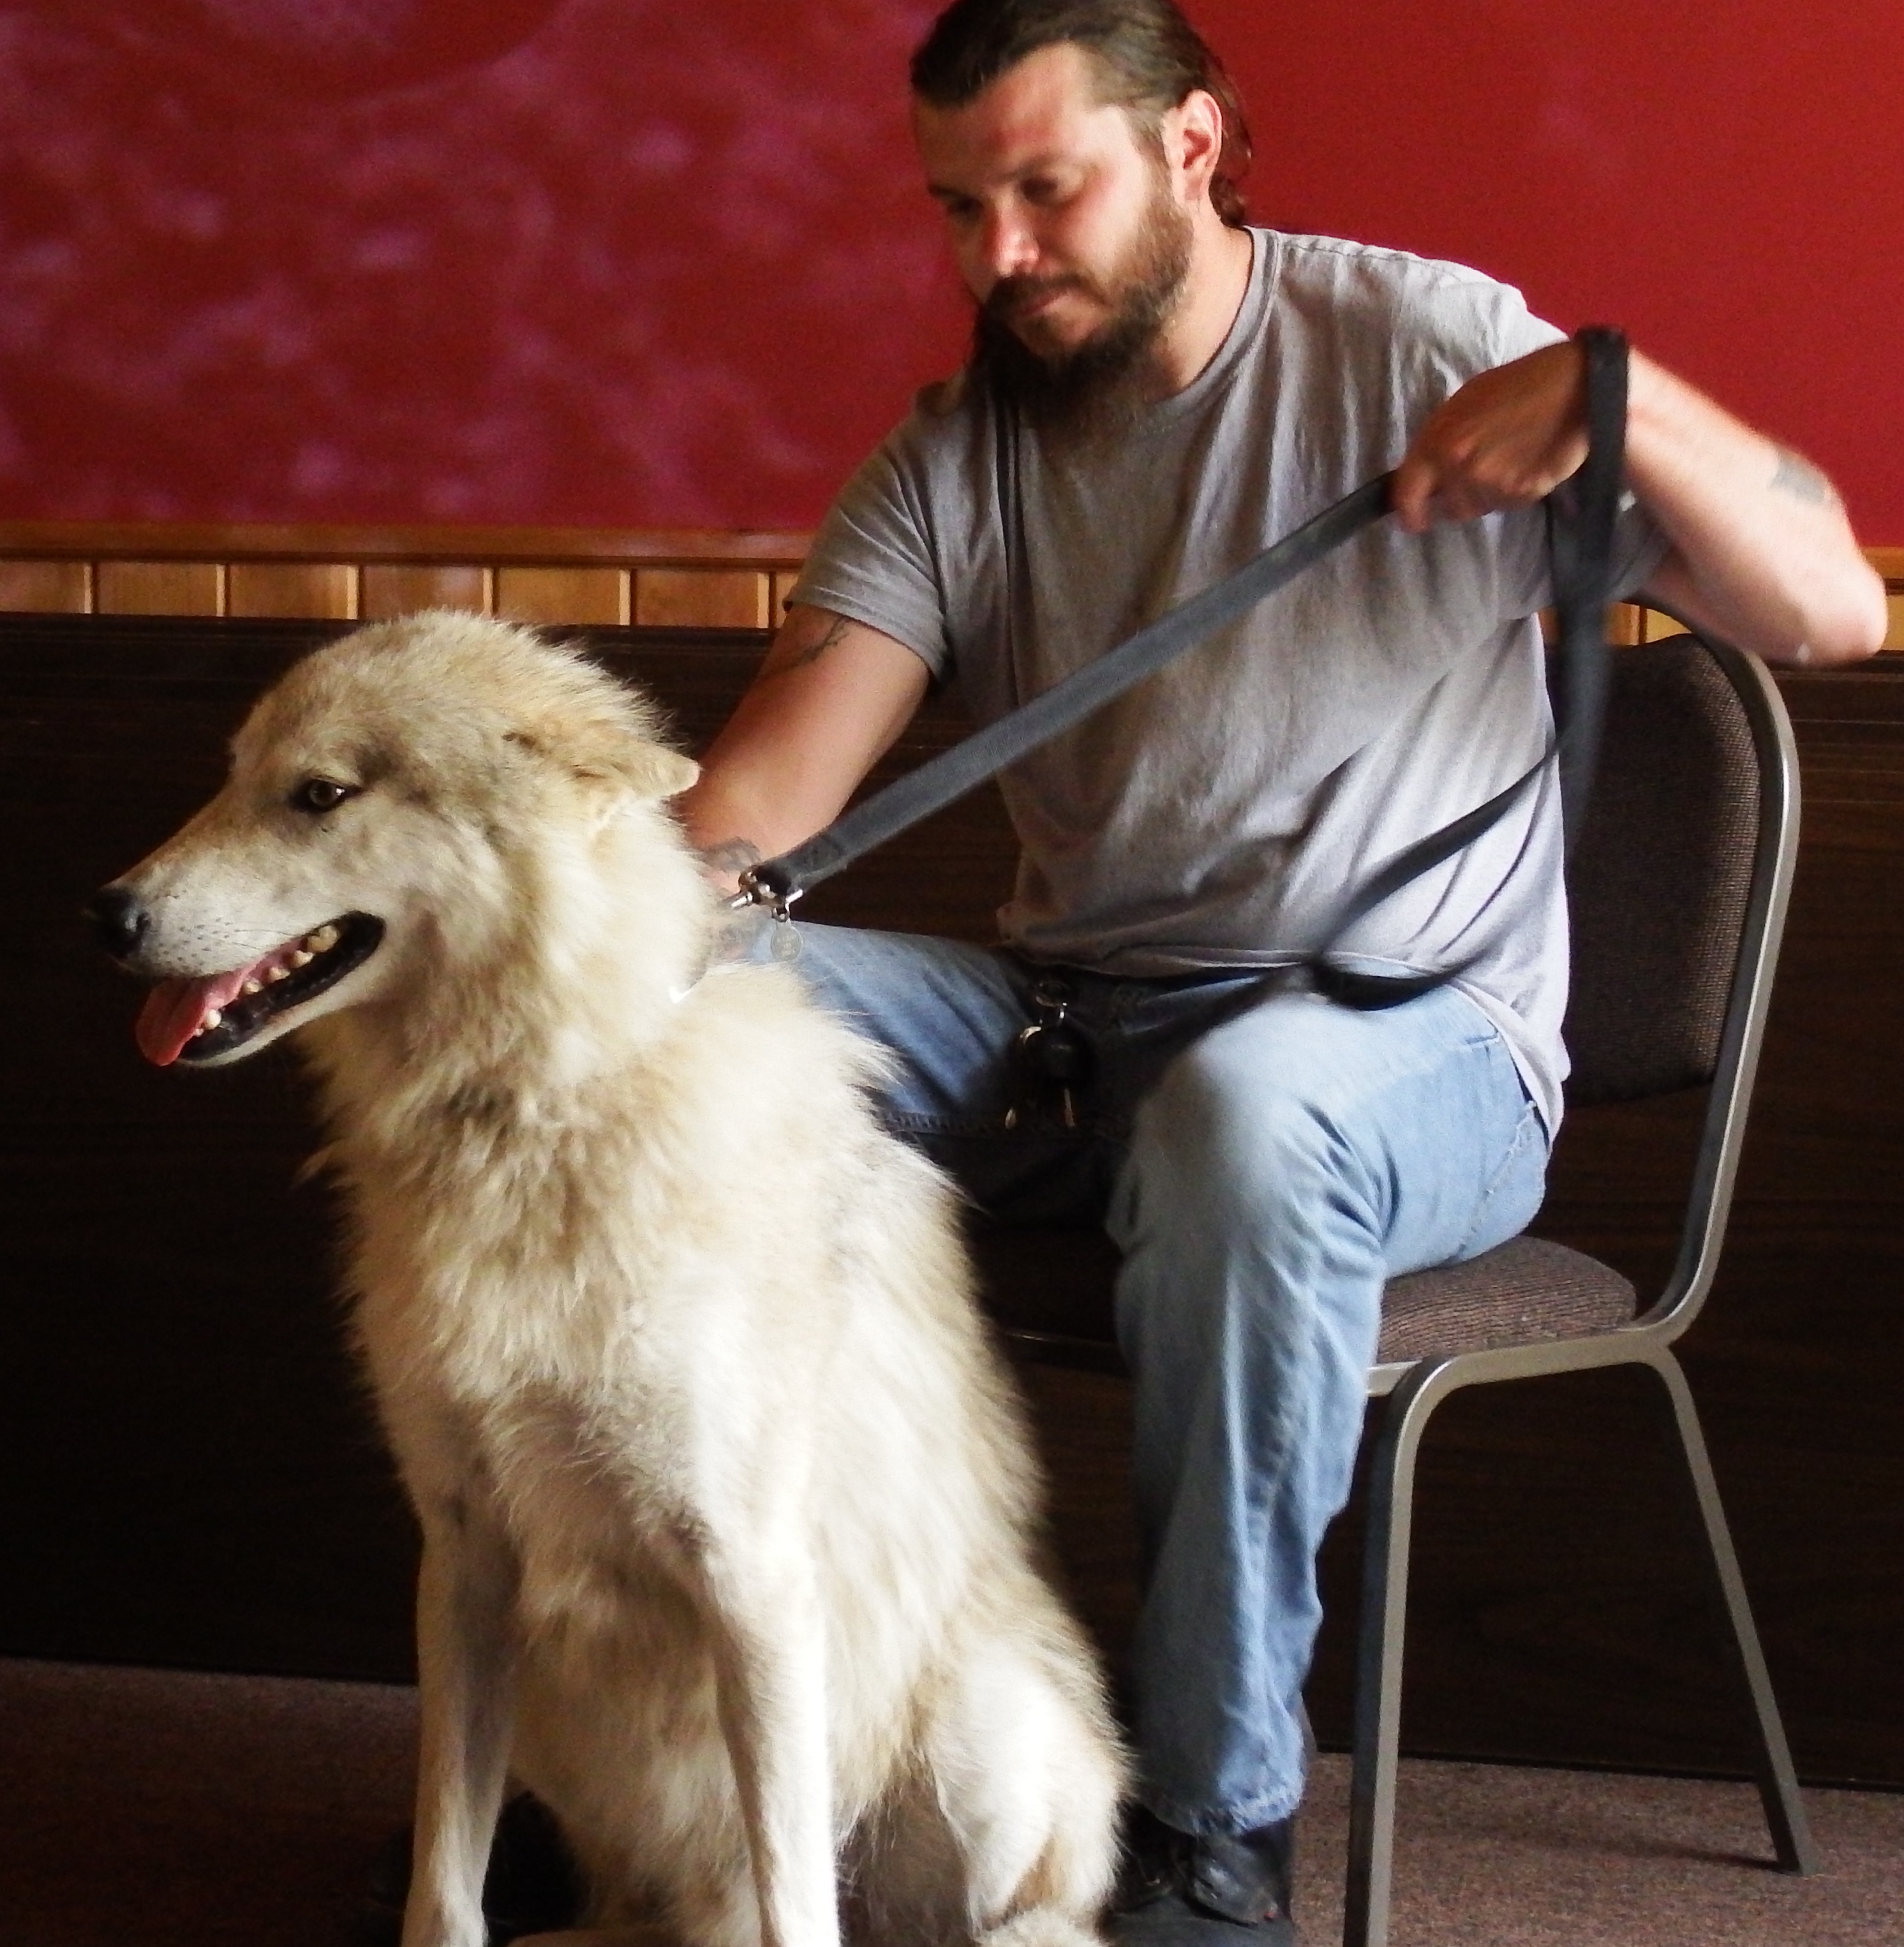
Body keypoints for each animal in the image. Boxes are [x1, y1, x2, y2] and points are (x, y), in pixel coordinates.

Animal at [96, 619, 1121, 1947]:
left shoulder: (753, 1578)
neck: (527, 1111)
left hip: (980, 1735)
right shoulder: (464, 1555)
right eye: (231, 777)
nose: (106, 912)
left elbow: (795, 1899)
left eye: (318, 794)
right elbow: (445, 1879)